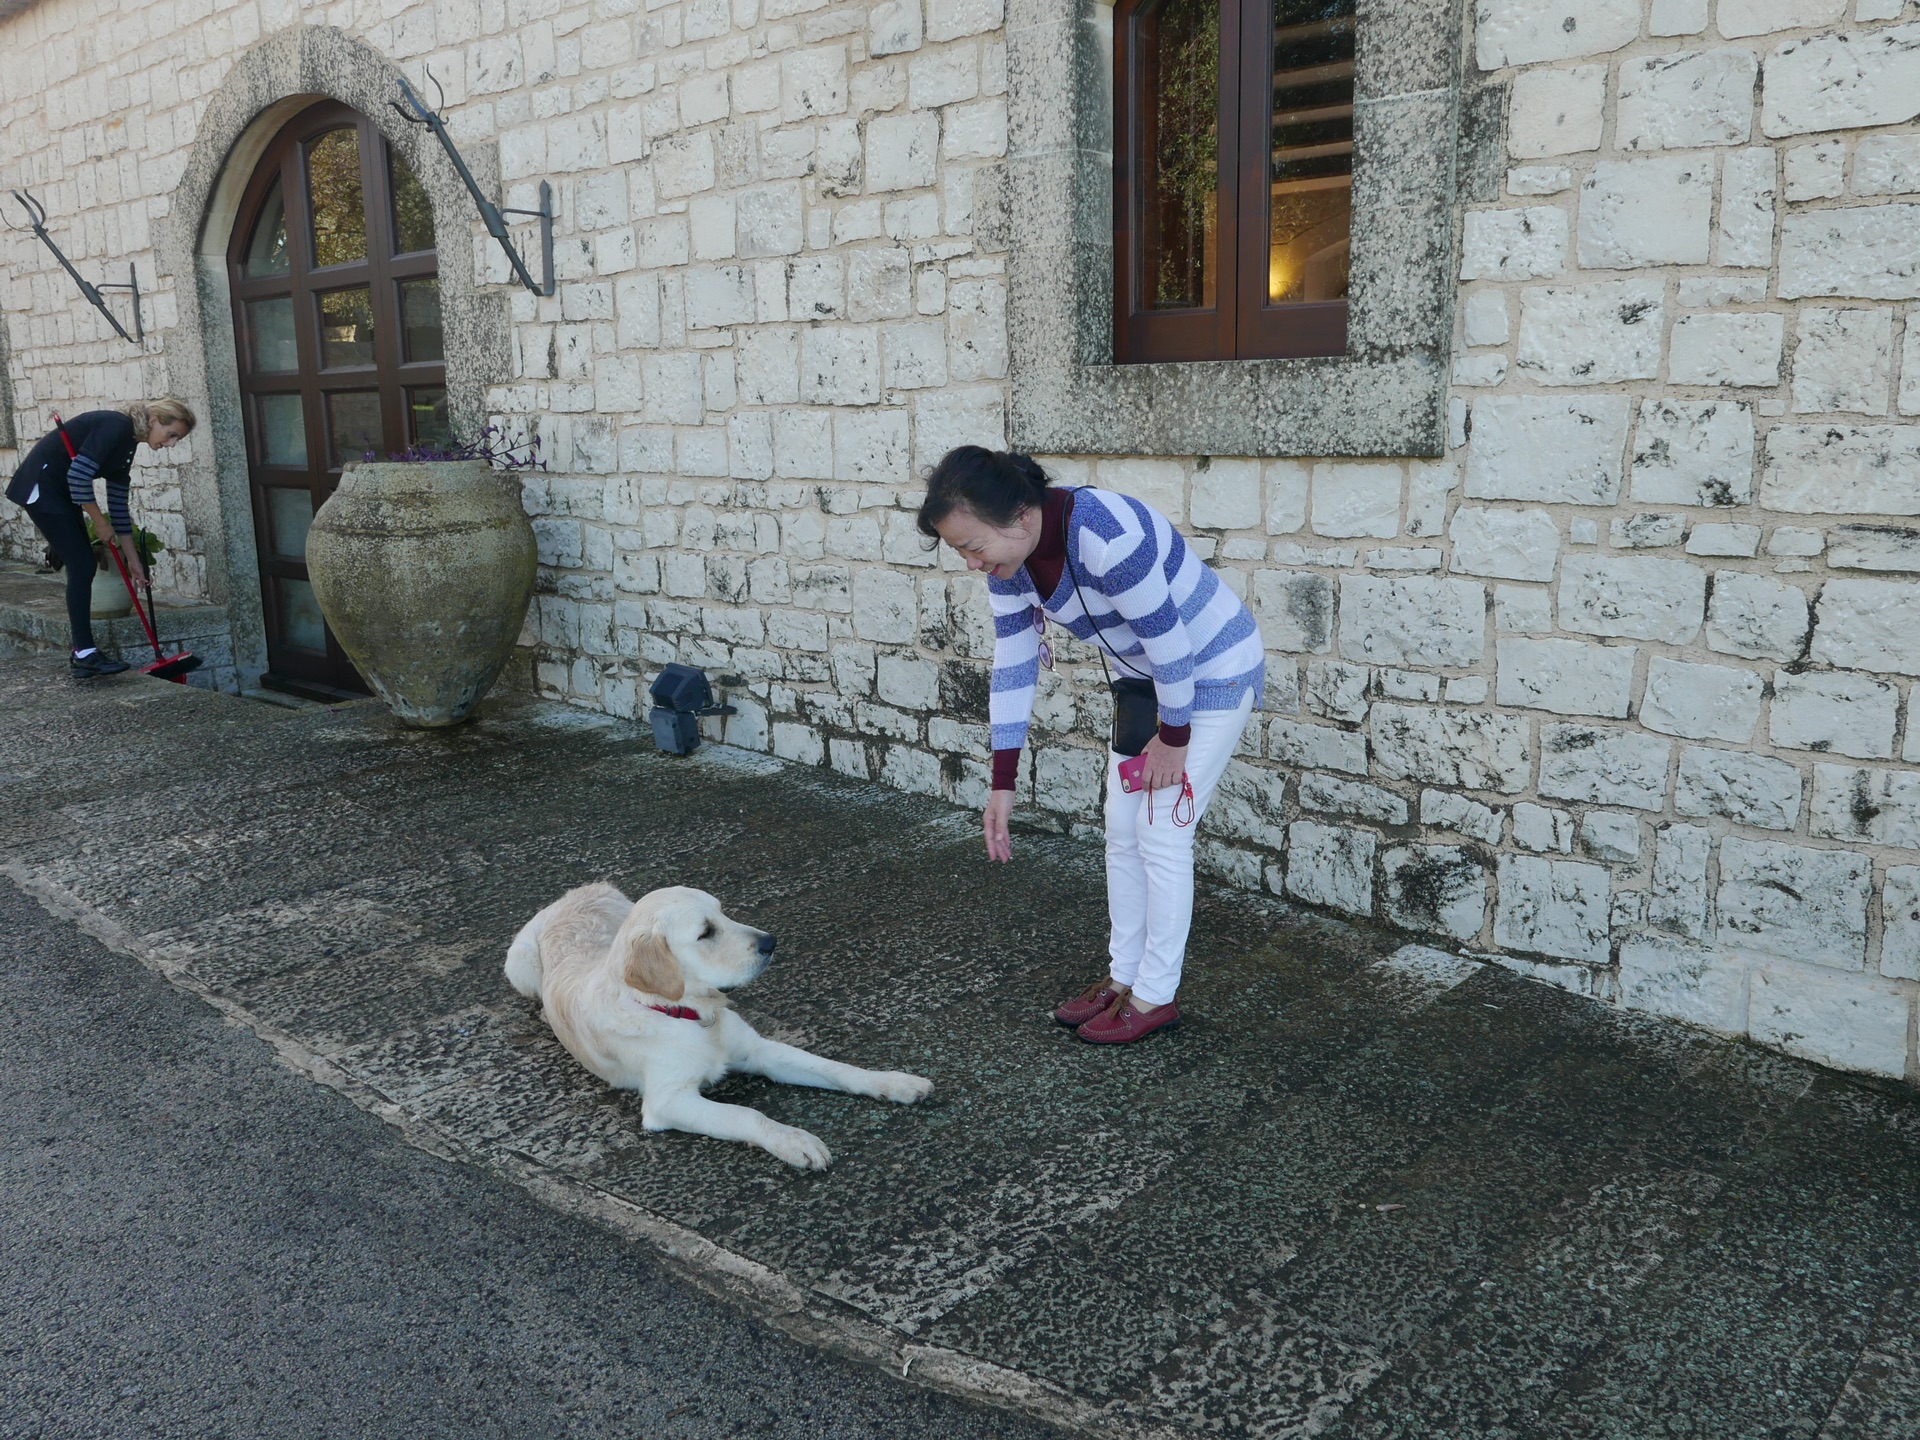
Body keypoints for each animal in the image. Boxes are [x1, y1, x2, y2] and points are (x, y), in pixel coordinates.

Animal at [506, 879, 933, 1175]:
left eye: (724, 912)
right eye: (705, 932)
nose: (771, 942)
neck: (688, 1012)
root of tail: (574, 894)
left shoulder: (760, 1050)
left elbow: (834, 1068)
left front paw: (893, 1083)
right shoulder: (667, 1100)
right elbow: (747, 1115)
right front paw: (795, 1140)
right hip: (518, 964)